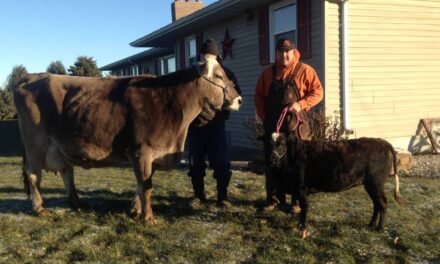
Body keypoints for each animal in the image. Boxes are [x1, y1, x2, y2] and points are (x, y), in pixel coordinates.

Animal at [13, 56, 242, 224]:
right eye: (219, 76)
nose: (239, 99)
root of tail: (30, 77)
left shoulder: (151, 155)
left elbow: (141, 184)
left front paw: (135, 209)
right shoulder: (141, 151)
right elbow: (146, 186)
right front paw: (148, 218)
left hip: (58, 146)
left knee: (66, 171)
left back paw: (76, 202)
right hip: (35, 143)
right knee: (33, 174)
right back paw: (40, 208)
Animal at [270, 133, 404, 230]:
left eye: (281, 144)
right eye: (269, 143)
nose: (272, 159)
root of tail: (381, 141)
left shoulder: (300, 188)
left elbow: (305, 206)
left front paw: (302, 226)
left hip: (375, 183)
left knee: (382, 203)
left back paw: (380, 228)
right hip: (370, 185)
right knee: (377, 204)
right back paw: (371, 224)